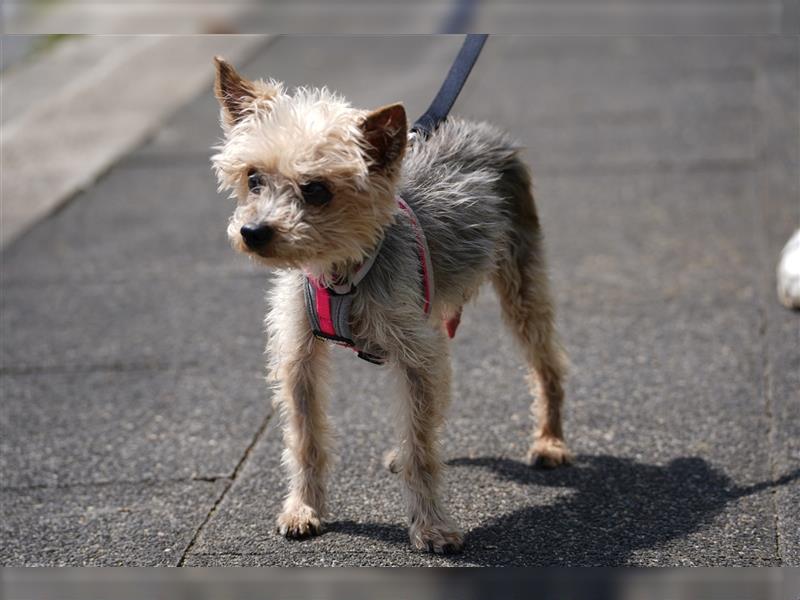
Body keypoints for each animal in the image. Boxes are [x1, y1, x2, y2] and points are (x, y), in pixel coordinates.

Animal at [208, 58, 568, 556]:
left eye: (316, 190)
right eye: (253, 179)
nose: (253, 232)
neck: (340, 272)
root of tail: (484, 132)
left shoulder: (414, 351)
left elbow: (421, 448)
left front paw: (431, 527)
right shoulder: (299, 354)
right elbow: (305, 438)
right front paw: (304, 509)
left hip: (521, 280)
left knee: (544, 363)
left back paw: (550, 441)